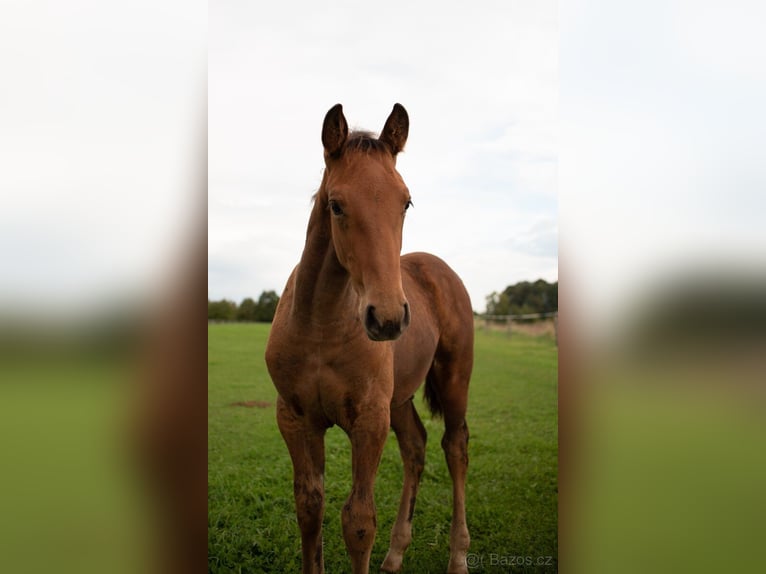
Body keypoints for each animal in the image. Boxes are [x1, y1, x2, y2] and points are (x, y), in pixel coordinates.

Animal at [268, 104, 476, 574]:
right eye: (336, 205)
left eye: (406, 201)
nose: (388, 318)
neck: (322, 325)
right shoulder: (295, 418)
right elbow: (310, 506)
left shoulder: (368, 420)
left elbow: (359, 521)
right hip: (398, 399)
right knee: (416, 448)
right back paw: (396, 554)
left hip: (453, 379)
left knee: (455, 447)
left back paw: (458, 556)